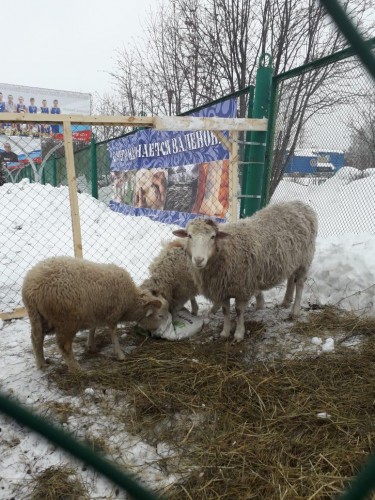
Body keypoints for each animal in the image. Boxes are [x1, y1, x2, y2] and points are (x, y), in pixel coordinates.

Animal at [22, 258, 170, 372]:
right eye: (160, 316)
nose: (162, 334)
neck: (130, 302)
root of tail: (31, 288)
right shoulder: (113, 314)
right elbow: (113, 333)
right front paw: (120, 354)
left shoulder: (95, 312)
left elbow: (93, 329)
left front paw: (91, 346)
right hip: (66, 321)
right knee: (64, 346)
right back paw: (76, 368)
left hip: (39, 317)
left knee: (36, 339)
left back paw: (41, 363)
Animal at [173, 201, 318, 342]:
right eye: (189, 236)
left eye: (213, 236)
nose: (198, 260)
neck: (226, 250)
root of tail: (301, 204)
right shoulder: (222, 289)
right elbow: (225, 310)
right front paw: (225, 332)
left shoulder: (242, 288)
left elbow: (238, 311)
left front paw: (238, 334)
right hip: (293, 260)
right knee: (291, 278)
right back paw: (286, 302)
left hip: (305, 259)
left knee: (300, 284)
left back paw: (294, 311)